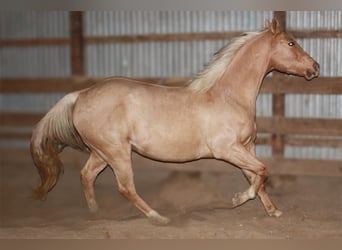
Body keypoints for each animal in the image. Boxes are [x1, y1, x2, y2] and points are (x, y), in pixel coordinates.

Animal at [30, 18, 320, 226]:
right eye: (291, 43)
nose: (315, 68)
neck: (229, 97)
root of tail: (80, 94)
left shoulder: (246, 147)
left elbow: (257, 176)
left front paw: (274, 212)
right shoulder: (227, 149)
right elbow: (262, 171)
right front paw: (239, 199)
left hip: (102, 152)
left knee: (86, 175)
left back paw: (95, 213)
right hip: (117, 152)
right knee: (125, 187)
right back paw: (159, 217)